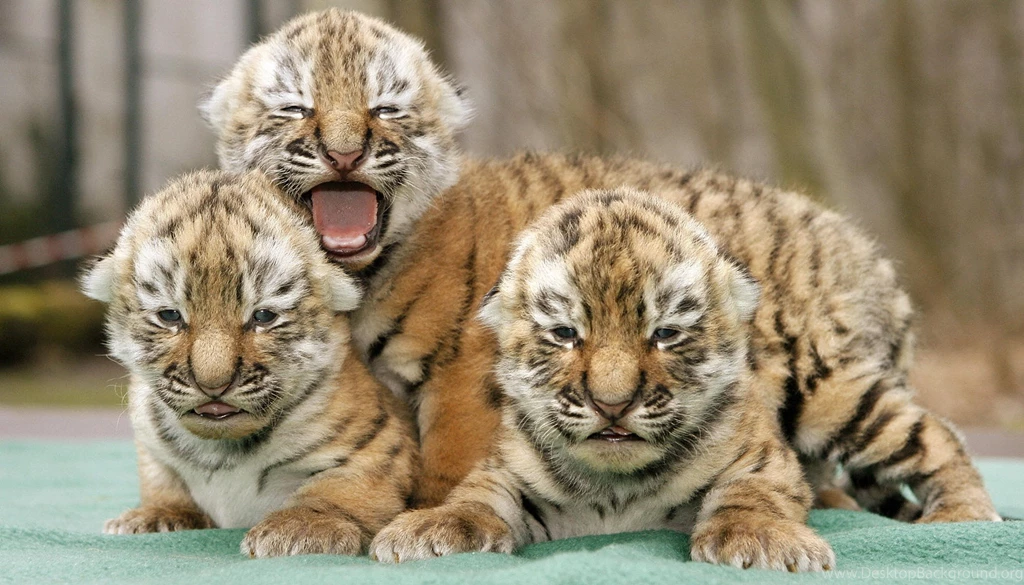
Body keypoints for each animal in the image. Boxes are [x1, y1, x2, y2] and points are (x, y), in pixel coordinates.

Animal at [81, 169, 418, 557]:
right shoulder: (150, 442)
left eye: (263, 316)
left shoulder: (379, 448)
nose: (213, 383)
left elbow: (341, 488)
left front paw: (301, 527)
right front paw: (154, 514)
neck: (221, 452)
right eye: (170, 316)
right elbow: (161, 478)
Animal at [200, 8, 1001, 523]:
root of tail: (862, 249)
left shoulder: (464, 366)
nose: (344, 151)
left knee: (935, 433)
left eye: (385, 109)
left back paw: (962, 516)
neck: (363, 273)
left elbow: (455, 456)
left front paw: (431, 513)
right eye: (295, 107)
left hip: (820, 381)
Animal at [370, 189, 836, 571]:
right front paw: (430, 529)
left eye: (665, 333)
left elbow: (753, 490)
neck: (615, 488)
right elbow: (478, 497)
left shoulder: (761, 454)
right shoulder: (507, 467)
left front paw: (760, 539)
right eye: (565, 333)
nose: (612, 403)